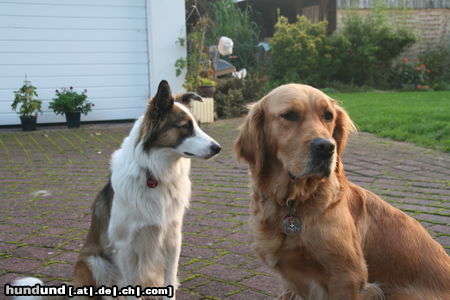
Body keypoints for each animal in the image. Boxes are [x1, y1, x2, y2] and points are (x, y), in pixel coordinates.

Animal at [14, 81, 222, 298]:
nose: (218, 148)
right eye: (185, 127)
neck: (154, 174)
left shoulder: (172, 240)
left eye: (197, 124)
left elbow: (169, 282)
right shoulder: (126, 246)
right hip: (93, 262)